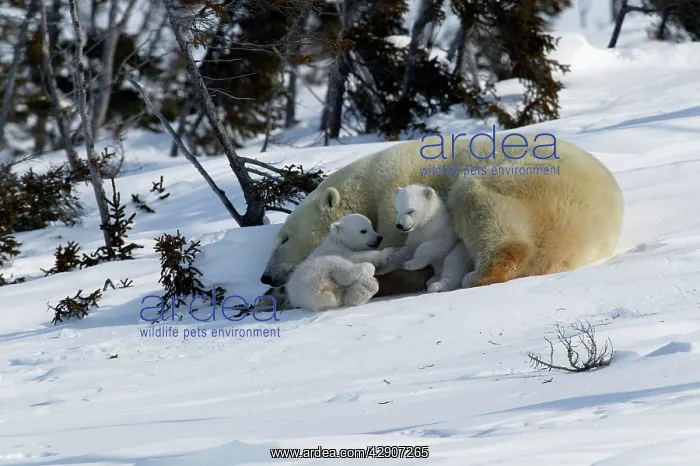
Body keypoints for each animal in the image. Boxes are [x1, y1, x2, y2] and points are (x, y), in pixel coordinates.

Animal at [260, 131, 624, 298]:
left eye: (284, 239)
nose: (265, 277)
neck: (367, 186)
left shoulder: (393, 203)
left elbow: (404, 260)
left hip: (524, 180)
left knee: (479, 203)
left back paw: (478, 274)